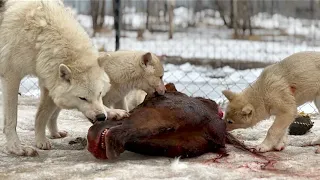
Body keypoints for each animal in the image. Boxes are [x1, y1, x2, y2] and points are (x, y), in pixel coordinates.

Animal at [0, 0, 127, 156]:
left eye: (100, 94)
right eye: (82, 98)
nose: (101, 117)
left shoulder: (48, 80)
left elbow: (44, 115)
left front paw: (48, 136)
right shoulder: (11, 76)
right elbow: (12, 119)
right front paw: (17, 147)